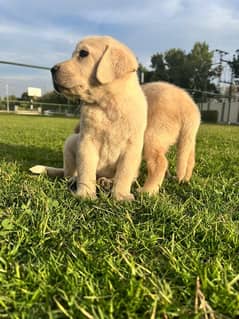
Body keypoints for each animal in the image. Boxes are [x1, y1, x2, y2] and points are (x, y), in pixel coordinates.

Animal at [50, 35, 148, 200]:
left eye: (83, 53)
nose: (52, 69)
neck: (108, 104)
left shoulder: (132, 147)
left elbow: (124, 173)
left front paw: (120, 196)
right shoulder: (87, 142)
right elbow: (86, 170)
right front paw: (85, 194)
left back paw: (107, 182)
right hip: (71, 142)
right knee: (70, 173)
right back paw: (74, 179)